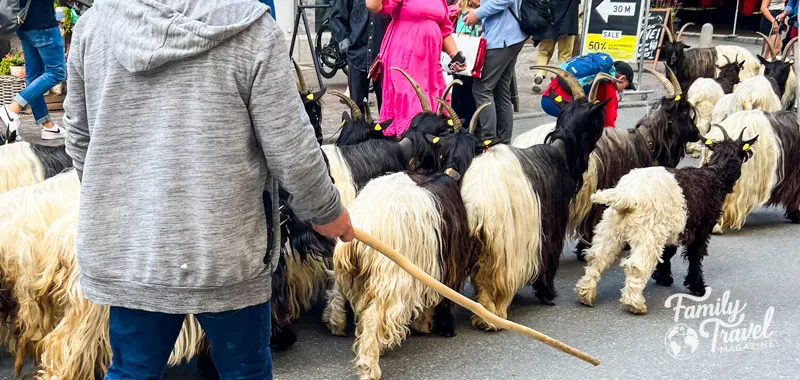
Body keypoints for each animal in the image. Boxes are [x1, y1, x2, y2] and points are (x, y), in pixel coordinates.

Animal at [324, 101, 488, 380]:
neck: (447, 174)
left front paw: (423, 323)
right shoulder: (448, 259)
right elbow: (445, 295)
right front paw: (442, 327)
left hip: (352, 273)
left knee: (345, 296)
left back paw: (341, 327)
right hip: (390, 276)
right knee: (374, 315)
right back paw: (370, 366)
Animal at [460, 66, 608, 330]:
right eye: (597, 120)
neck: (559, 152)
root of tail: (478, 204)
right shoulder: (552, 225)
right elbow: (549, 258)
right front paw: (547, 293)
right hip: (504, 246)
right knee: (496, 279)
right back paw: (495, 315)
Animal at [580, 126, 760, 314]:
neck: (714, 176)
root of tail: (626, 195)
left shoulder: (675, 229)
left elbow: (668, 253)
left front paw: (663, 277)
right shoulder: (702, 229)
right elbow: (695, 256)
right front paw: (697, 287)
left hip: (610, 229)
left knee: (596, 258)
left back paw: (586, 294)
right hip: (647, 235)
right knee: (636, 265)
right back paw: (635, 304)